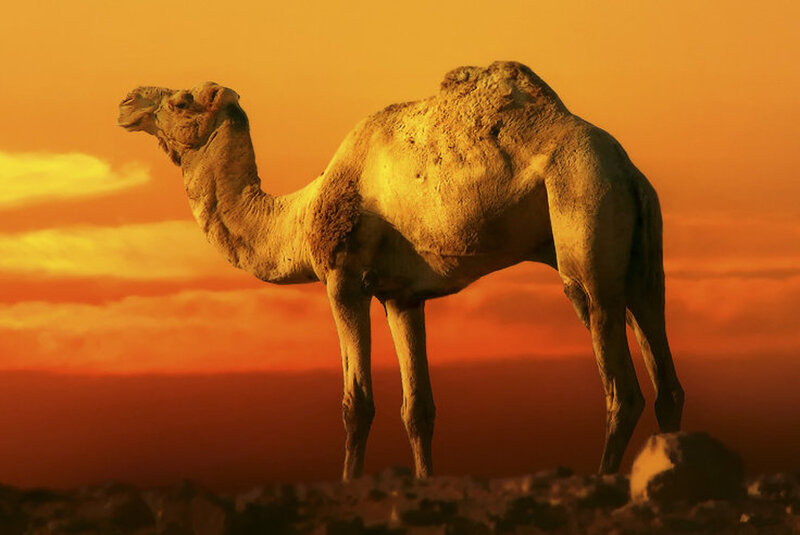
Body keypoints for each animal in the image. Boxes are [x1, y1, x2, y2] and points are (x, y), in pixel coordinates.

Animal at [118, 61, 684, 480]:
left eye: (180, 101)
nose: (126, 102)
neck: (300, 217)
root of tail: (628, 171)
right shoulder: (402, 296)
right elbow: (419, 409)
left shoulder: (343, 280)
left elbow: (357, 404)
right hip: (641, 257)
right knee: (664, 373)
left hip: (585, 219)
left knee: (621, 385)